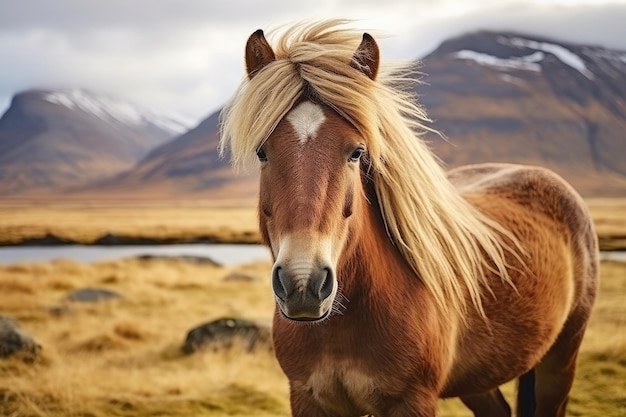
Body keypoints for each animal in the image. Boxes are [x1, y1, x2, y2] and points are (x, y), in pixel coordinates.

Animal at [217, 19, 596, 416]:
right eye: (262, 152)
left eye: (356, 152)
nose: (303, 284)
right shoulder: (308, 398)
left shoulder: (413, 400)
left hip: (561, 360)